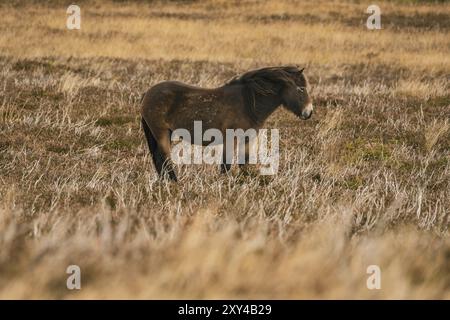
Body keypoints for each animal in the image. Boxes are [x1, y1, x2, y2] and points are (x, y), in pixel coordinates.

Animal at [141, 65, 312, 180]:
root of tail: (148, 93)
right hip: (161, 133)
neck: (249, 104)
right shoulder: (232, 139)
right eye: (301, 89)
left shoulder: (247, 140)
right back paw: (175, 183)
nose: (309, 112)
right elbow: (226, 165)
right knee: (165, 158)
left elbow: (244, 163)